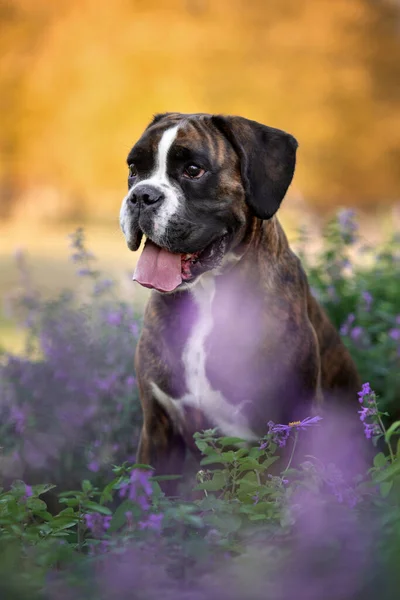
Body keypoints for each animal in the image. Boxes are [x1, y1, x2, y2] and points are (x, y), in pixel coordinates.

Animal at [119, 111, 362, 492]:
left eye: (193, 169)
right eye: (133, 168)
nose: (142, 195)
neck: (207, 296)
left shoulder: (290, 426)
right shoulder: (158, 431)